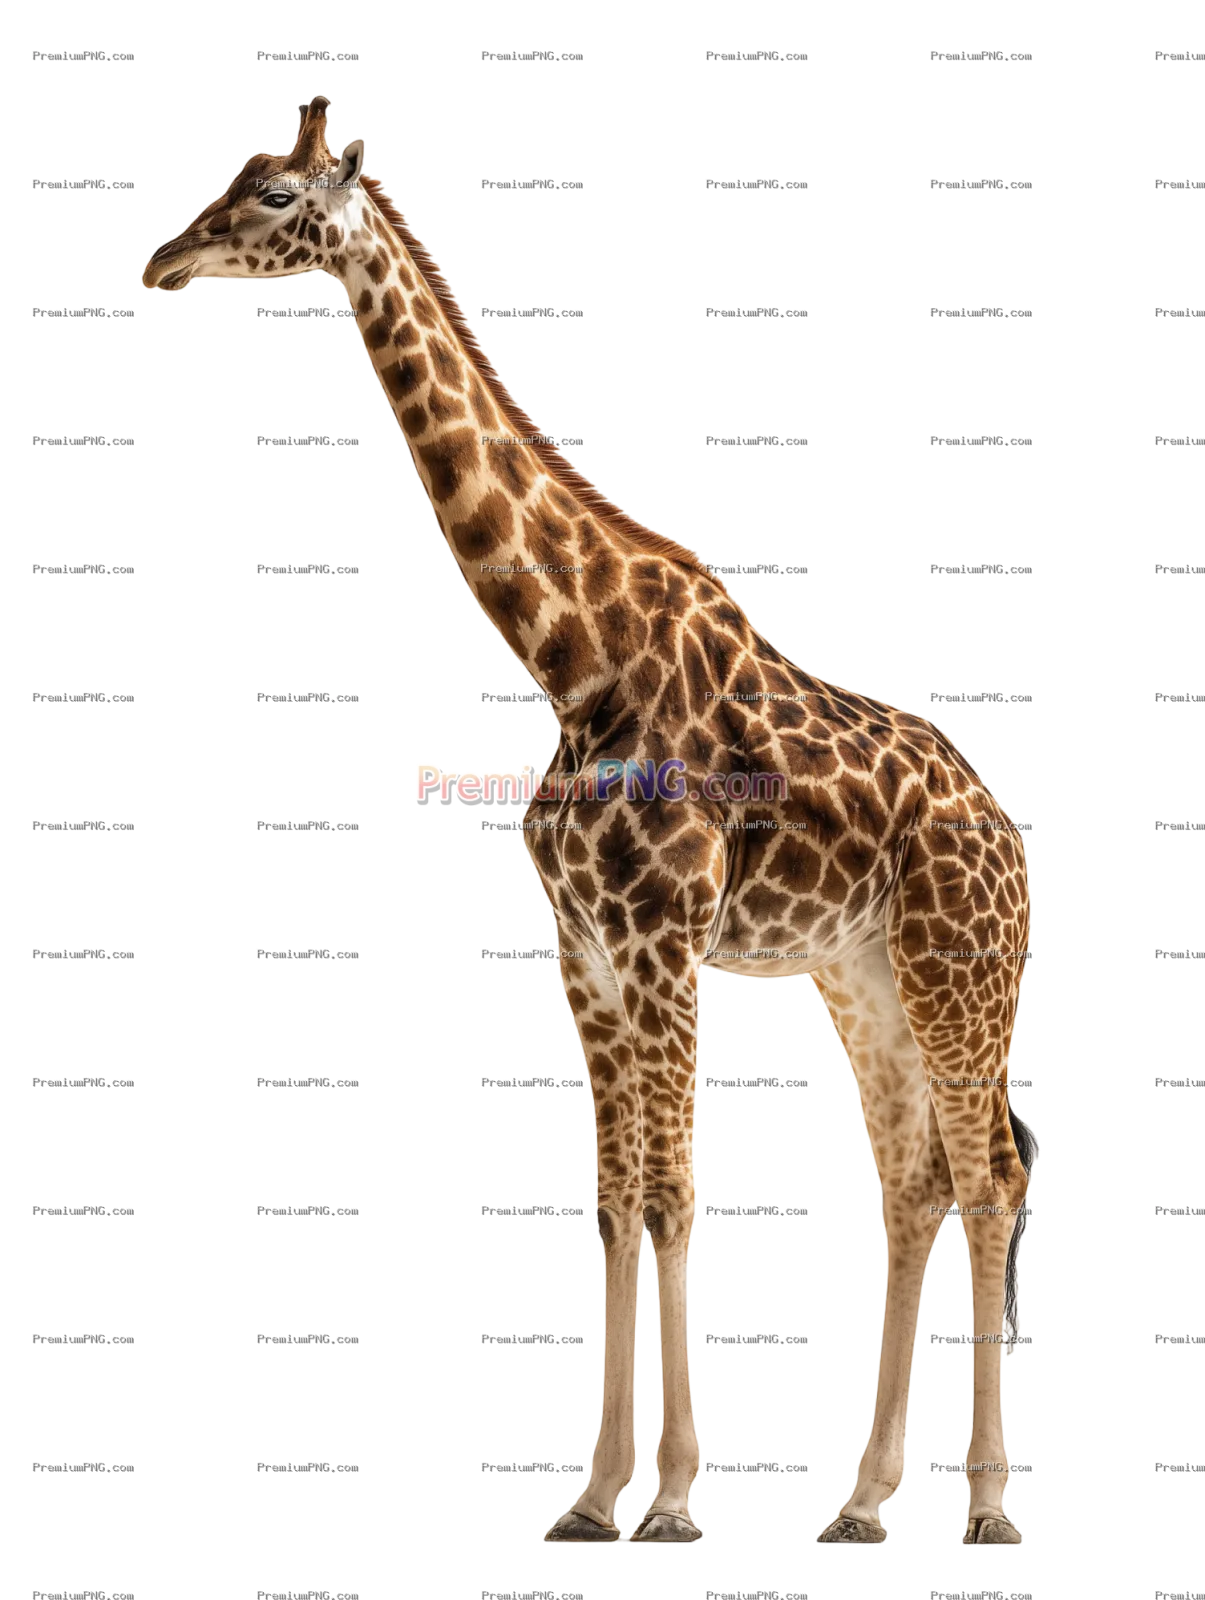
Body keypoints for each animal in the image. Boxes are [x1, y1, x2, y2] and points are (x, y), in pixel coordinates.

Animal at [143, 92, 1035, 1548]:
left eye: (273, 196)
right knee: (911, 1184)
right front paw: (593, 1490)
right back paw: (859, 1505)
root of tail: (1008, 832)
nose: (159, 262)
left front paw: (670, 1497)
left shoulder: (665, 944)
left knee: (992, 1176)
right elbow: (613, 1206)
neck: (569, 655)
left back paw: (985, 1510)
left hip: (961, 968)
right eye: (231, 177)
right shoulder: (586, 952)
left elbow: (672, 1199)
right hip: (862, 975)